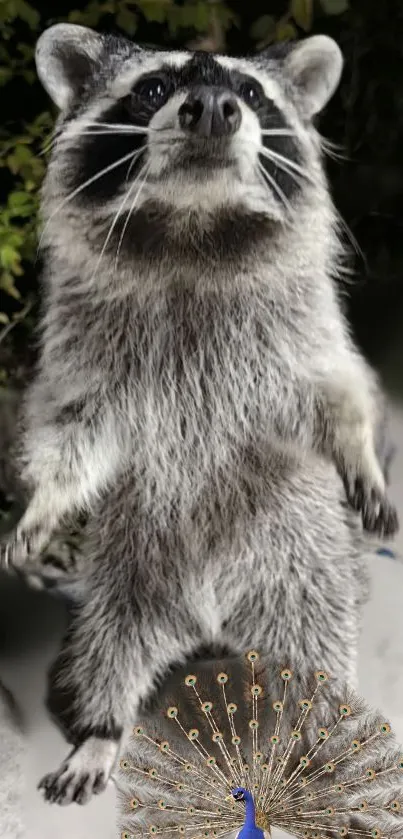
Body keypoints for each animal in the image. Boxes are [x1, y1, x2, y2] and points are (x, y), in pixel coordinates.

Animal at [0, 23, 398, 804]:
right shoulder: (88, 350)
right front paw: (46, 501)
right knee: (108, 648)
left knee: (321, 649)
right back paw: (105, 726)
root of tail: (212, 623)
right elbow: (75, 431)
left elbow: (335, 391)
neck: (195, 226)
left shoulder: (301, 333)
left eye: (249, 90)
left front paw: (361, 452)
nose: (213, 107)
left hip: (300, 566)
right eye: (152, 87)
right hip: (128, 573)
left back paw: (317, 729)